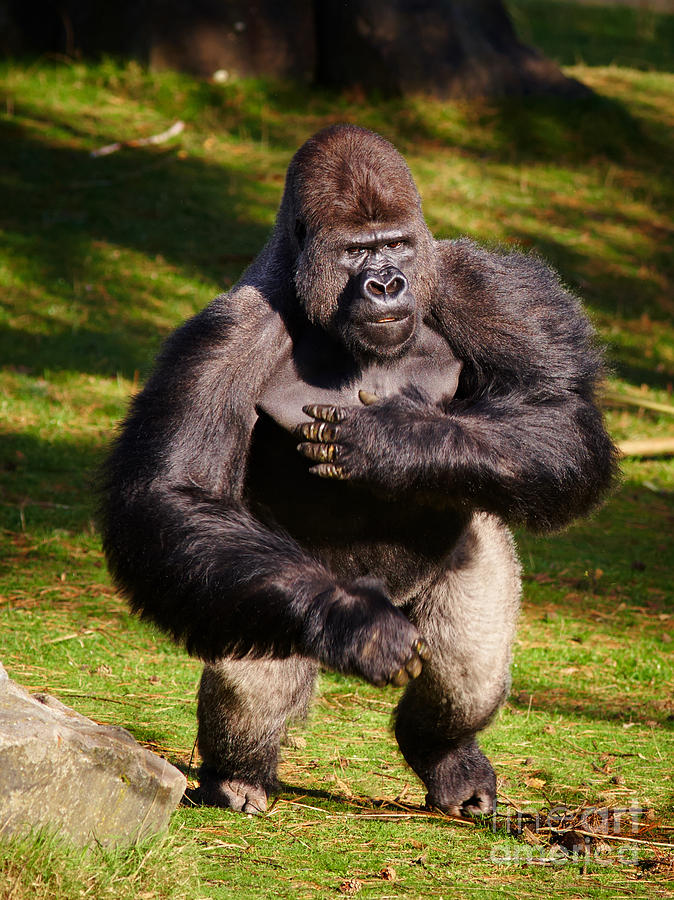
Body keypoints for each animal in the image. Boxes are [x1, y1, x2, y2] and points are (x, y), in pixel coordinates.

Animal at [97, 123, 616, 820]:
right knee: (257, 660)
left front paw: (399, 442)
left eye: (393, 246)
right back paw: (239, 775)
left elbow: (559, 415)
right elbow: (174, 491)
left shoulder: (490, 286)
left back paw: (446, 755)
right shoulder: (221, 336)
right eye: (356, 253)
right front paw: (353, 620)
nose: (387, 284)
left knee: (471, 662)